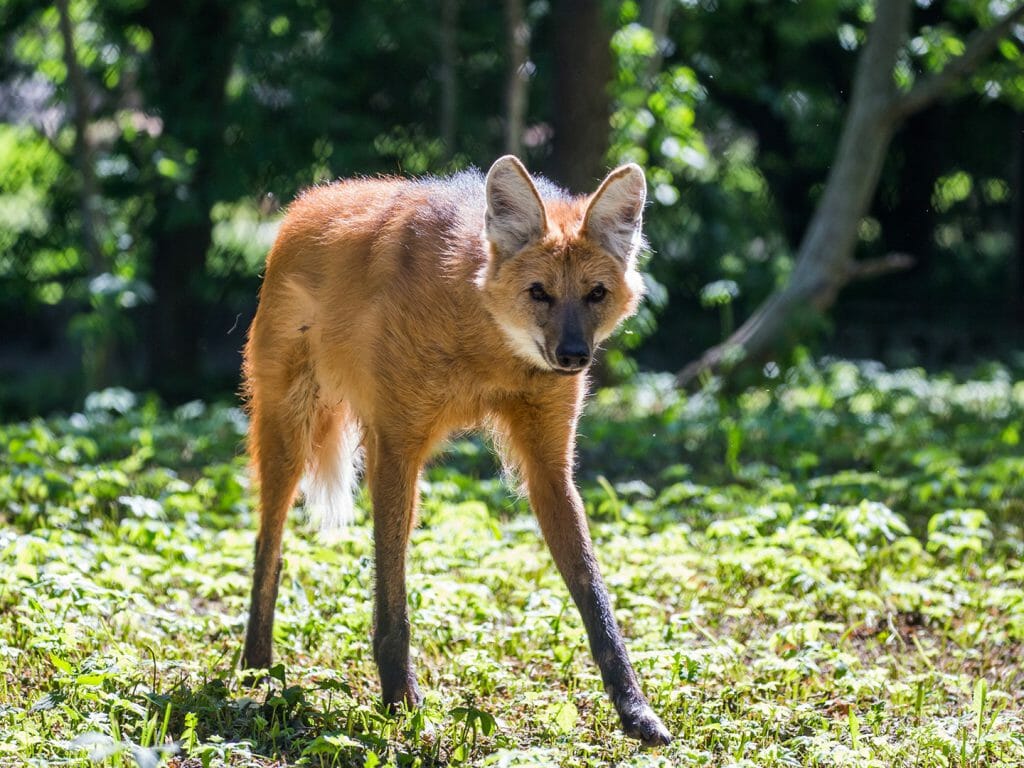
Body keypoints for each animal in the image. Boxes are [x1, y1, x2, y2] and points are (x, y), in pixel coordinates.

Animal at [242, 155, 671, 746]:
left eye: (595, 294)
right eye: (539, 292)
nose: (573, 356)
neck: (490, 346)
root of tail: (302, 207)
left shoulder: (547, 463)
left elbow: (592, 589)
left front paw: (635, 708)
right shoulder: (396, 444)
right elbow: (392, 596)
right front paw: (401, 705)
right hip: (292, 427)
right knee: (271, 543)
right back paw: (257, 672)